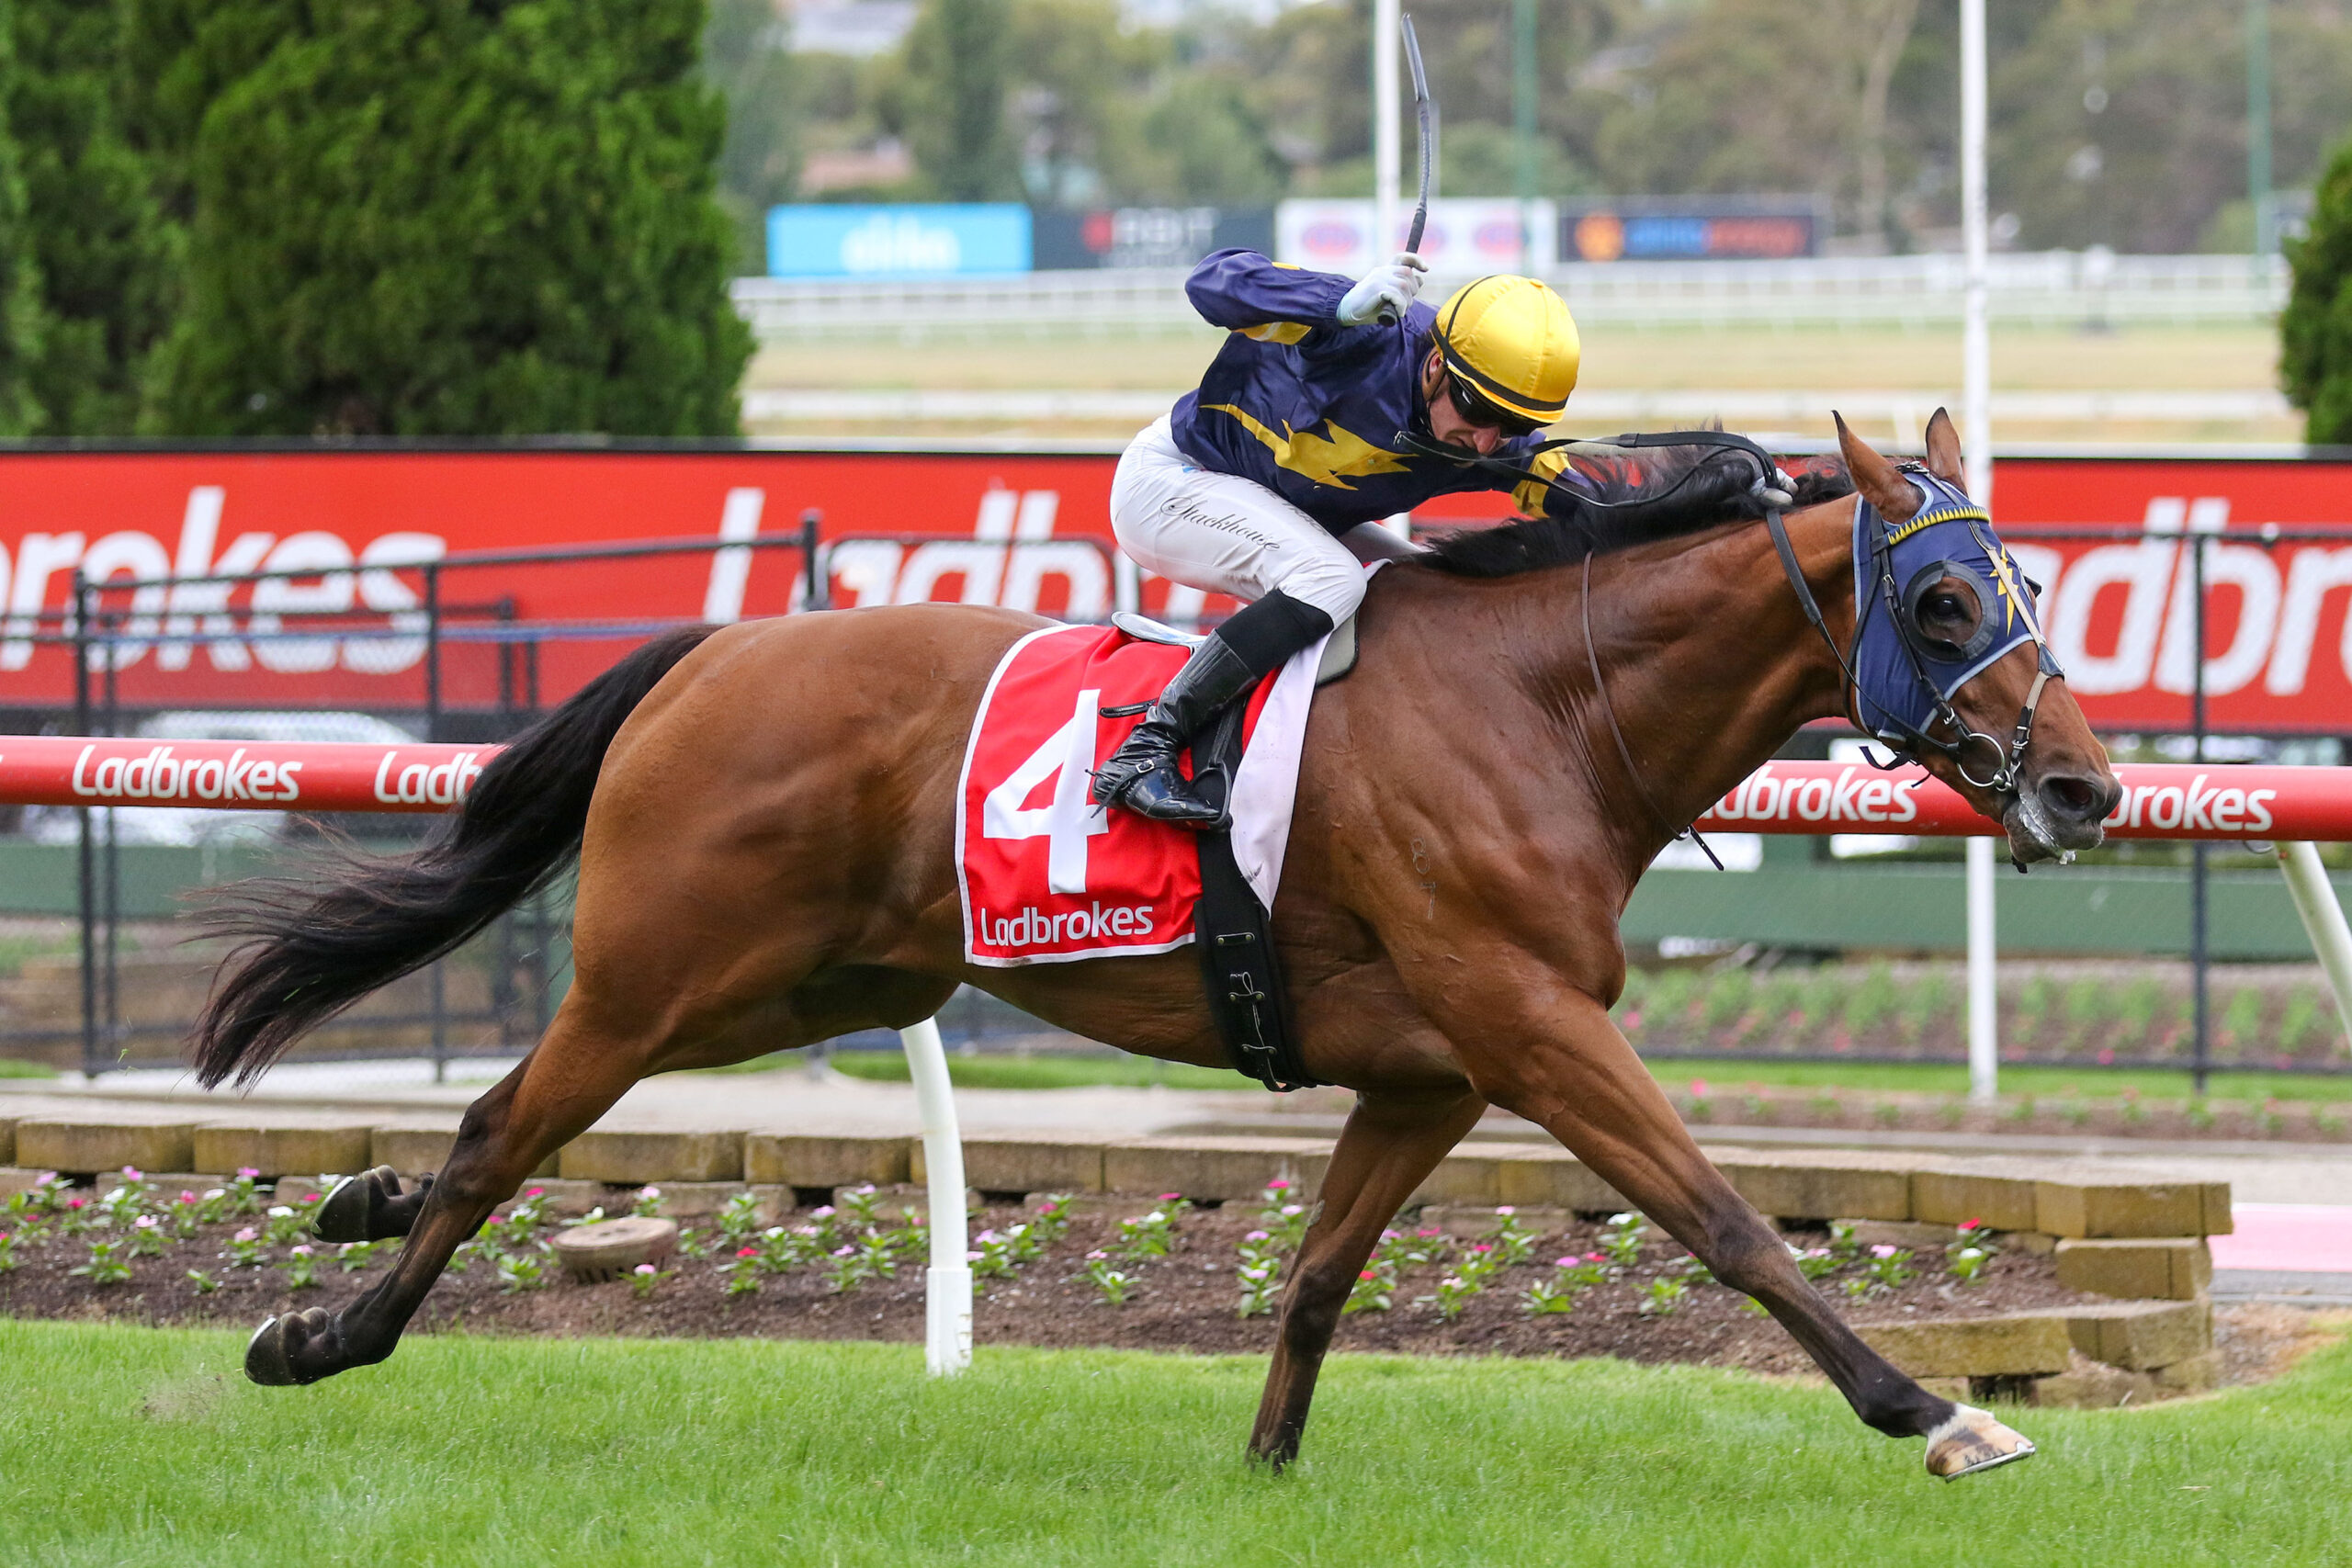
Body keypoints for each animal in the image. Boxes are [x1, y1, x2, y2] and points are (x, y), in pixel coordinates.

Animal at [200, 411, 2117, 1481]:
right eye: (1944, 597)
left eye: (2028, 587)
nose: (2088, 786)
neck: (1550, 708)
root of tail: (717, 648)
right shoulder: (1526, 1019)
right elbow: (1726, 1218)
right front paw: (1935, 1412)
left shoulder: (1430, 1070)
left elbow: (1324, 1268)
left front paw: (1265, 1465)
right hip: (661, 969)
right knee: (498, 1129)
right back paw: (323, 1330)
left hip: (824, 978)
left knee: (515, 1118)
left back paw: (354, 1197)